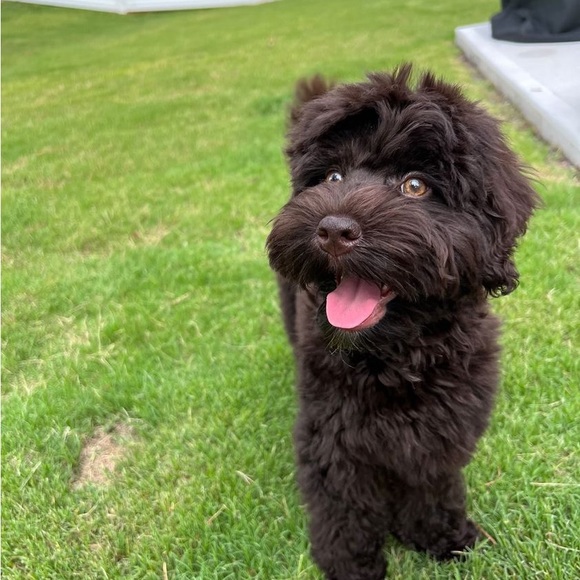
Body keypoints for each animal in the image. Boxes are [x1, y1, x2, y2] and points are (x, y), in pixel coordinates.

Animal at [266, 65, 539, 579]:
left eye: (415, 186)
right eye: (332, 176)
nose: (333, 230)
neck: (394, 358)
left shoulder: (443, 426)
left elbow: (430, 485)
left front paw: (443, 538)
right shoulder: (332, 431)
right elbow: (343, 504)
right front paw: (351, 565)